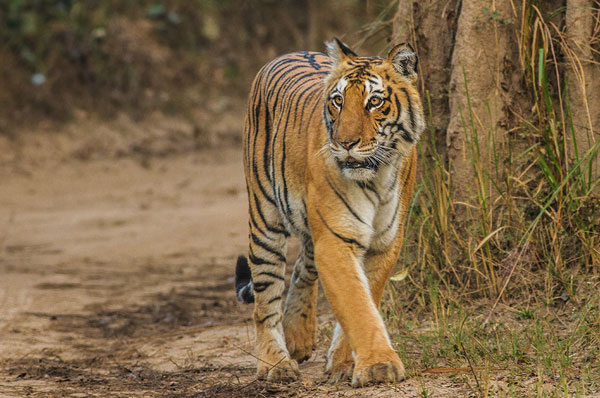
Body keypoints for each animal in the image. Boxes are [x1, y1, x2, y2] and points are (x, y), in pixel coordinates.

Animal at [234, 38, 426, 388]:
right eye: (338, 101)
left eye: (374, 101)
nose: (345, 143)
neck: (376, 177)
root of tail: (288, 53)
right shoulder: (336, 240)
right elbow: (356, 304)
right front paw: (378, 365)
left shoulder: (385, 242)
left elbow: (366, 297)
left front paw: (344, 363)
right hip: (265, 218)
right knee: (265, 299)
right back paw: (275, 363)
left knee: (302, 268)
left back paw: (298, 336)